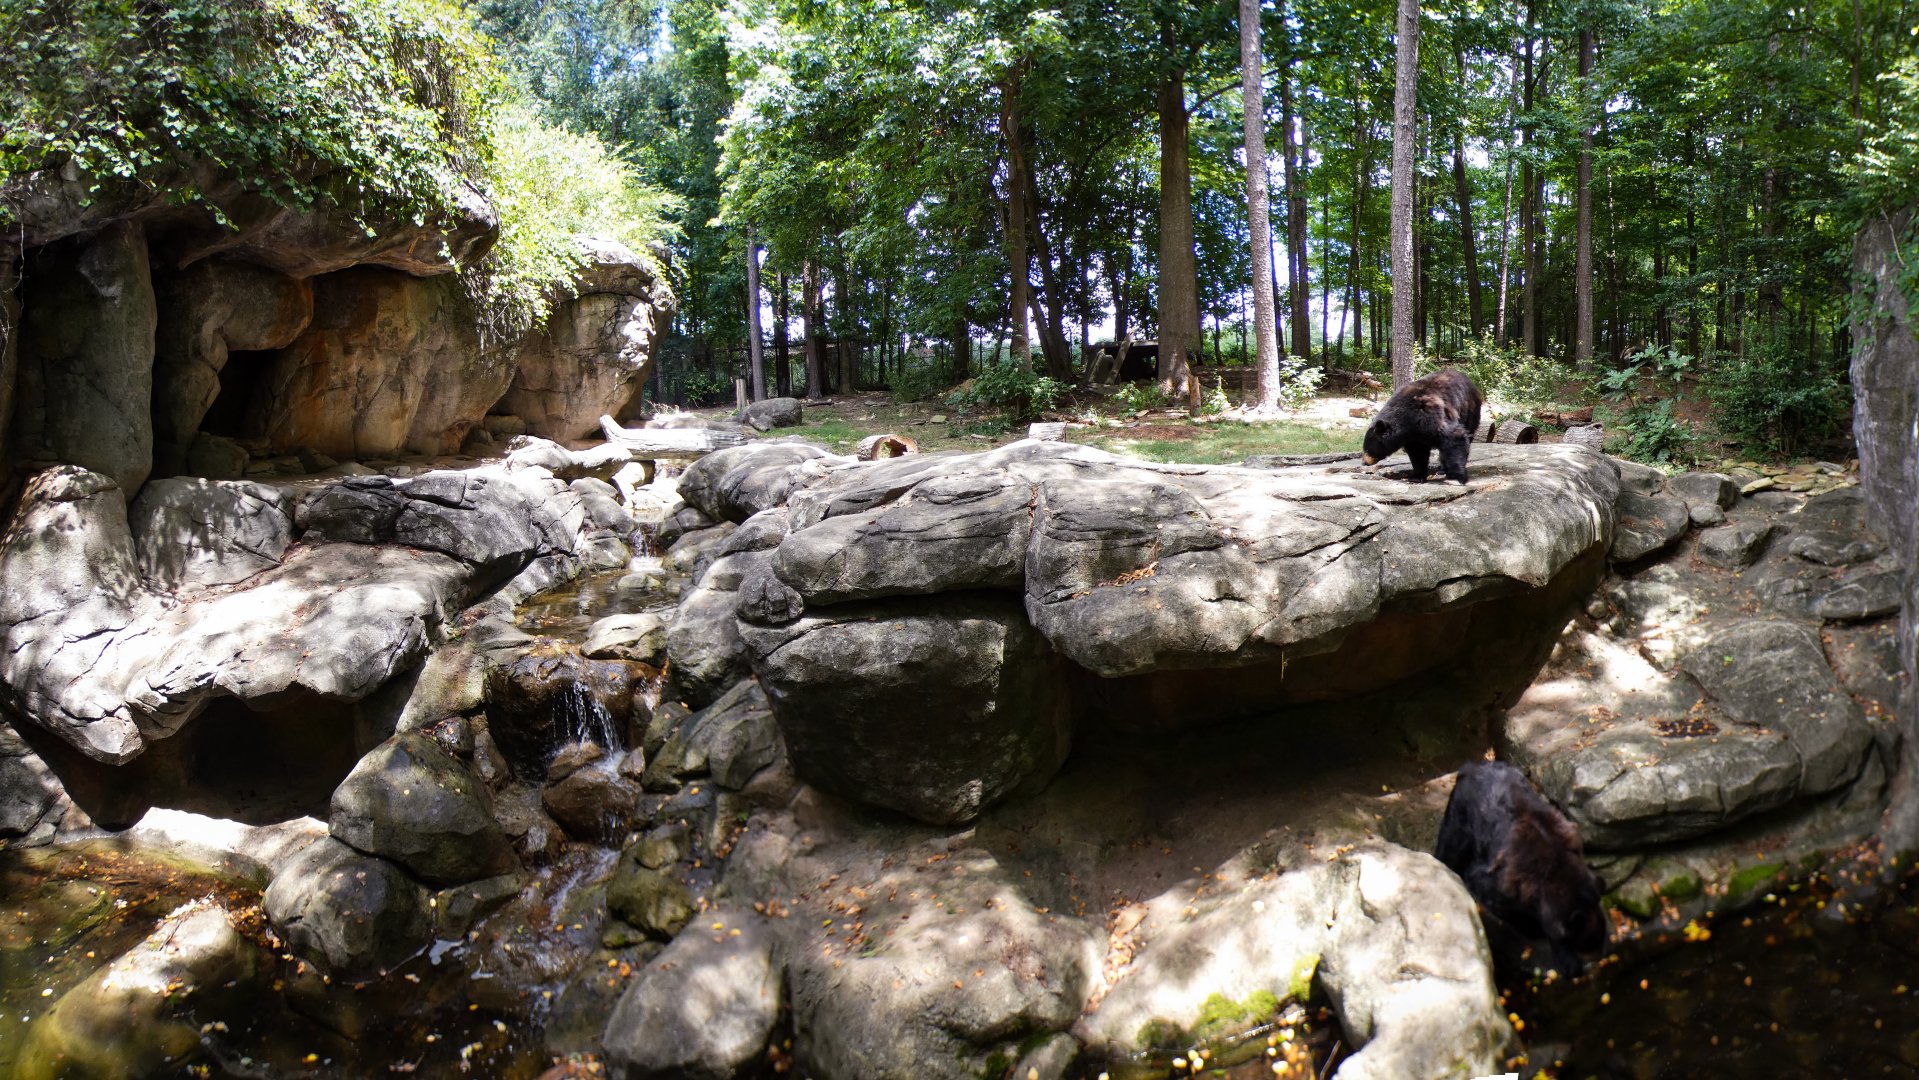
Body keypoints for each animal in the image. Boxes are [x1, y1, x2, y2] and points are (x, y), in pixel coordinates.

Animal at [1435, 760, 1607, 978]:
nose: (1601, 950)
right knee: (1450, 846)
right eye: (1585, 944)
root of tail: (1473, 765)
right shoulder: (1504, 878)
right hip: (1462, 813)